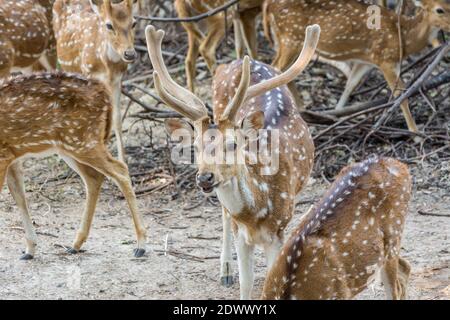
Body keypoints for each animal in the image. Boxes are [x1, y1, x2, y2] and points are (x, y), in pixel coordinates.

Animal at [0, 71, 148, 258]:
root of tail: (103, 91)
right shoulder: (12, 155)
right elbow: (20, 196)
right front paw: (30, 249)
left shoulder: (3, 155)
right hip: (71, 146)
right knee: (94, 177)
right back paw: (75, 244)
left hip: (82, 140)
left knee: (120, 169)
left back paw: (141, 245)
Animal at [53, 0, 138, 164]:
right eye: (109, 25)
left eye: (134, 23)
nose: (129, 54)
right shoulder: (90, 76)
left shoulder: (117, 79)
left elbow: (117, 119)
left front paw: (123, 161)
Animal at [146, 25, 318, 300]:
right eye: (195, 147)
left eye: (233, 144)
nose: (205, 177)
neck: (256, 213)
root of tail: (236, 61)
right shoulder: (242, 234)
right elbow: (245, 283)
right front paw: (233, 275)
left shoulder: (278, 231)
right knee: (225, 215)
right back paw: (225, 270)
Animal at [264, 0, 450, 134]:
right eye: (440, 10)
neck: (404, 40)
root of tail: (268, 6)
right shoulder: (386, 59)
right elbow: (400, 93)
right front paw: (415, 132)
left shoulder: (365, 61)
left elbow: (350, 85)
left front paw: (336, 116)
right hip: (291, 37)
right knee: (277, 68)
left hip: (286, 40)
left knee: (284, 69)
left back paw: (301, 108)